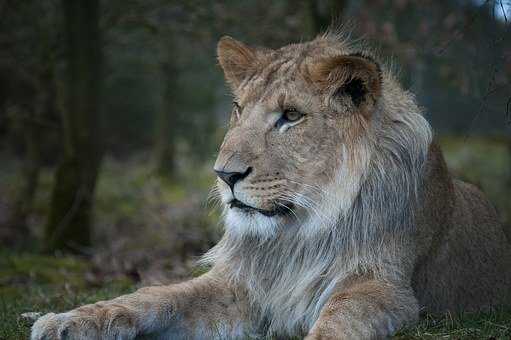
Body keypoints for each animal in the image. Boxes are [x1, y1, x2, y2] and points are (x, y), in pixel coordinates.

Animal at [32, 32, 511, 340]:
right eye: (239, 109)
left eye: (291, 116)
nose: (224, 175)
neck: (298, 232)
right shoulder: (241, 286)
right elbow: (154, 297)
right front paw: (67, 320)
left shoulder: (386, 286)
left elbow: (340, 319)